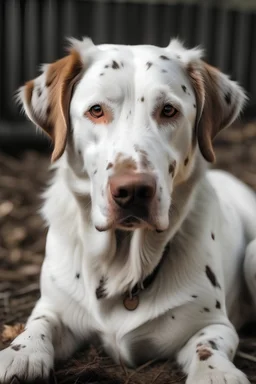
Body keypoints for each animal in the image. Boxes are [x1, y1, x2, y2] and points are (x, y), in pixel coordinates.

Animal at [0, 36, 256, 384]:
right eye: (96, 110)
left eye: (168, 110)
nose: (133, 191)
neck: (123, 260)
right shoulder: (54, 306)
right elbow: (39, 323)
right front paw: (21, 352)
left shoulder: (214, 323)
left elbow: (208, 346)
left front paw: (216, 373)